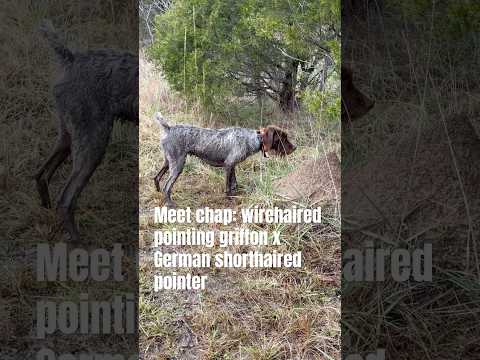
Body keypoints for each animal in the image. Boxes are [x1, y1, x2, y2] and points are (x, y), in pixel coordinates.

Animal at [34, 20, 138, 242]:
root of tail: (71, 59)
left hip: (68, 137)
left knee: (41, 175)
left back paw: (47, 211)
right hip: (94, 142)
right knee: (66, 199)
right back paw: (79, 241)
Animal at [154, 114, 296, 207]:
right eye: (283, 138)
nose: (295, 148)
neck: (253, 139)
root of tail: (169, 128)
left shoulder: (232, 165)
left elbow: (234, 183)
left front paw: (235, 193)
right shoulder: (228, 165)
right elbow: (228, 186)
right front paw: (229, 198)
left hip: (168, 162)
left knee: (156, 177)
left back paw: (158, 192)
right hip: (177, 165)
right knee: (167, 187)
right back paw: (170, 203)